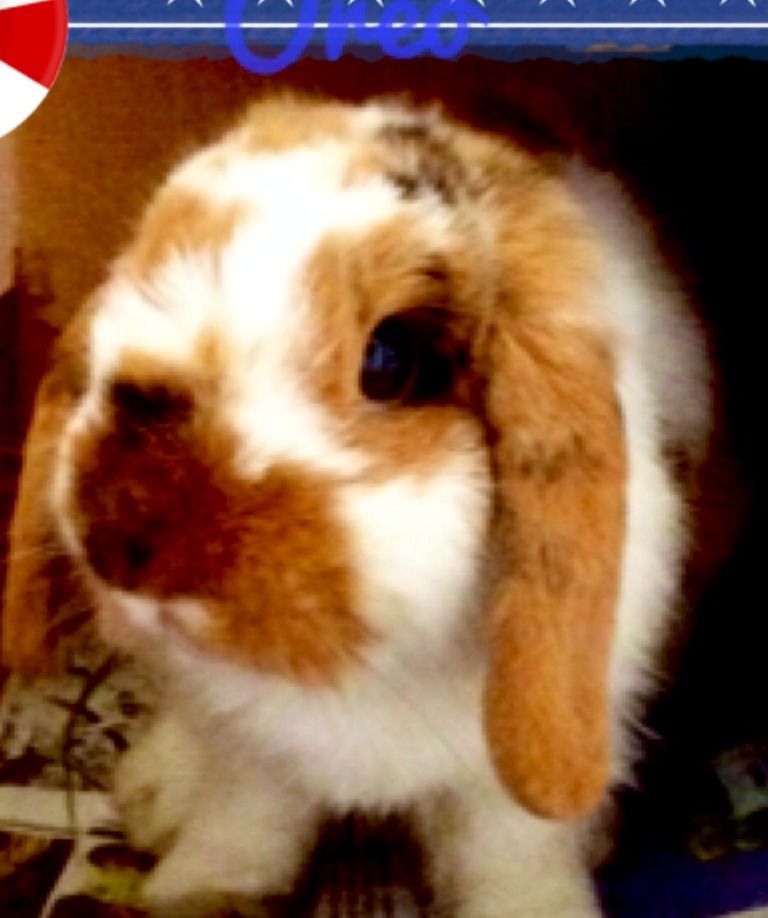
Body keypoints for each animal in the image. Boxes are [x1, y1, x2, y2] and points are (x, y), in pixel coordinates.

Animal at [1, 93, 714, 916]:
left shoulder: (503, 796)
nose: (121, 543)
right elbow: (240, 826)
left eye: (391, 359)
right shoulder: (253, 754)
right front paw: (196, 894)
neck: (365, 670)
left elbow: (513, 861)